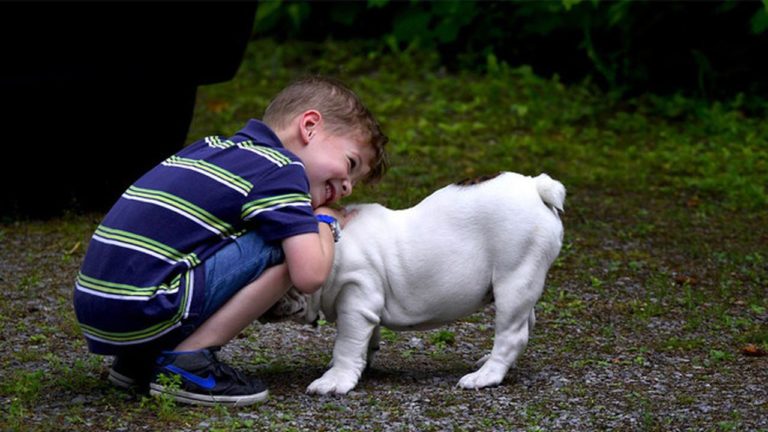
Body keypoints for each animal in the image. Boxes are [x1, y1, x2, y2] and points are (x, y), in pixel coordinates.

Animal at [264, 171, 564, 394]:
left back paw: (485, 375)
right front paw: (364, 362)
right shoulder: (366, 307)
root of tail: (535, 186)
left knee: (511, 334)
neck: (330, 246)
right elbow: (367, 339)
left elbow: (347, 344)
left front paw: (335, 380)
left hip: (514, 277)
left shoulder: (356, 300)